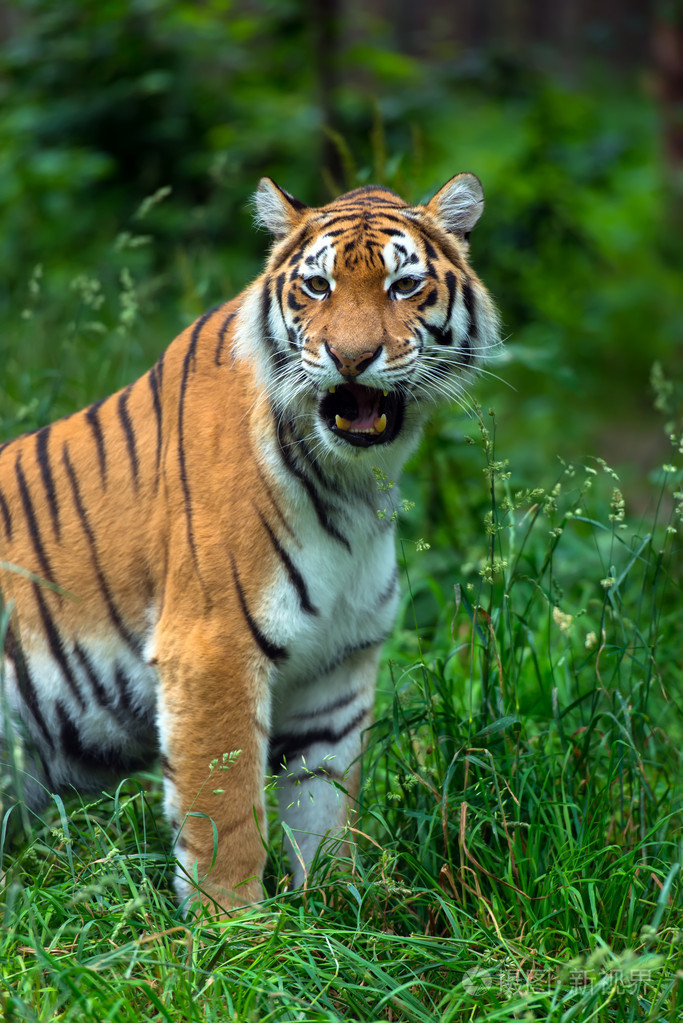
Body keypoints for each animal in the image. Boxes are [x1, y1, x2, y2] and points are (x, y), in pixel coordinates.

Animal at [0, 173, 501, 911]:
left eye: (404, 286)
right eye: (317, 287)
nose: (352, 358)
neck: (355, 485)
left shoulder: (337, 671)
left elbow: (324, 810)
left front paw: (338, 912)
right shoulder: (213, 647)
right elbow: (225, 811)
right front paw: (233, 927)